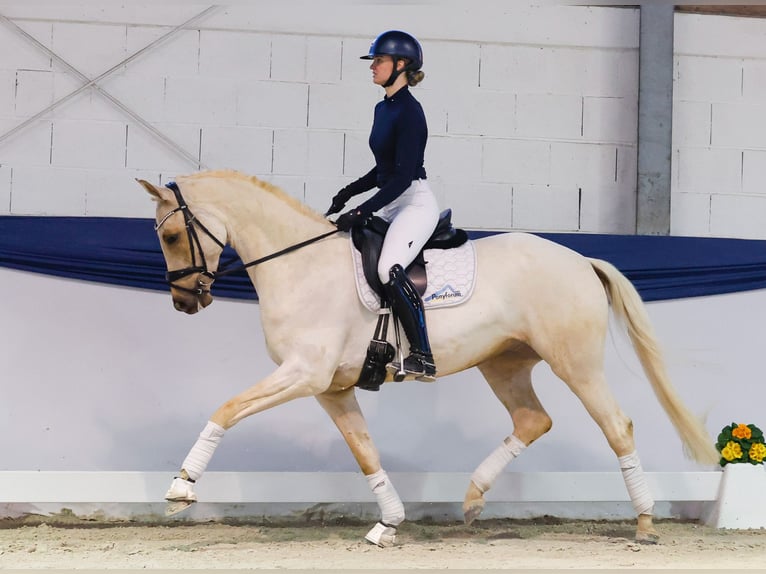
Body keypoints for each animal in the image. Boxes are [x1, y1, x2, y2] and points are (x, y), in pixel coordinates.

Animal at [136, 169, 718, 547]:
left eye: (172, 234)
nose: (185, 301)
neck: (300, 264)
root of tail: (581, 260)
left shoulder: (303, 373)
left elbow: (227, 408)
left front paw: (181, 487)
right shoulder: (331, 388)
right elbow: (365, 452)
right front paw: (388, 524)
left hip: (575, 363)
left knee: (617, 426)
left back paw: (644, 525)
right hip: (503, 364)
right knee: (533, 419)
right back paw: (473, 498)